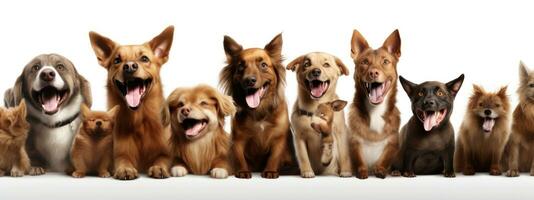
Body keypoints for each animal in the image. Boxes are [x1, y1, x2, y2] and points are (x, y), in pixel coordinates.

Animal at [89, 25, 175, 180]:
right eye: (117, 60)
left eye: (144, 58)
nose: (129, 66)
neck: (140, 120)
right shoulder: (120, 153)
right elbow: (123, 159)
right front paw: (126, 169)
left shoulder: (166, 153)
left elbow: (163, 158)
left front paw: (159, 167)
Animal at [221, 33, 298, 179]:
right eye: (240, 67)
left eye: (263, 65)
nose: (249, 80)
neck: (259, 110)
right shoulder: (238, 138)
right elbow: (239, 156)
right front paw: (243, 171)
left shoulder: (279, 137)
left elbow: (274, 156)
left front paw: (271, 171)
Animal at [348, 28, 402, 179]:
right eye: (365, 62)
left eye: (385, 61)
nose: (373, 73)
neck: (375, 111)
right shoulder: (354, 141)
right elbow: (359, 159)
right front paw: (362, 171)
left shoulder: (392, 142)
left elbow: (385, 157)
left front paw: (381, 169)